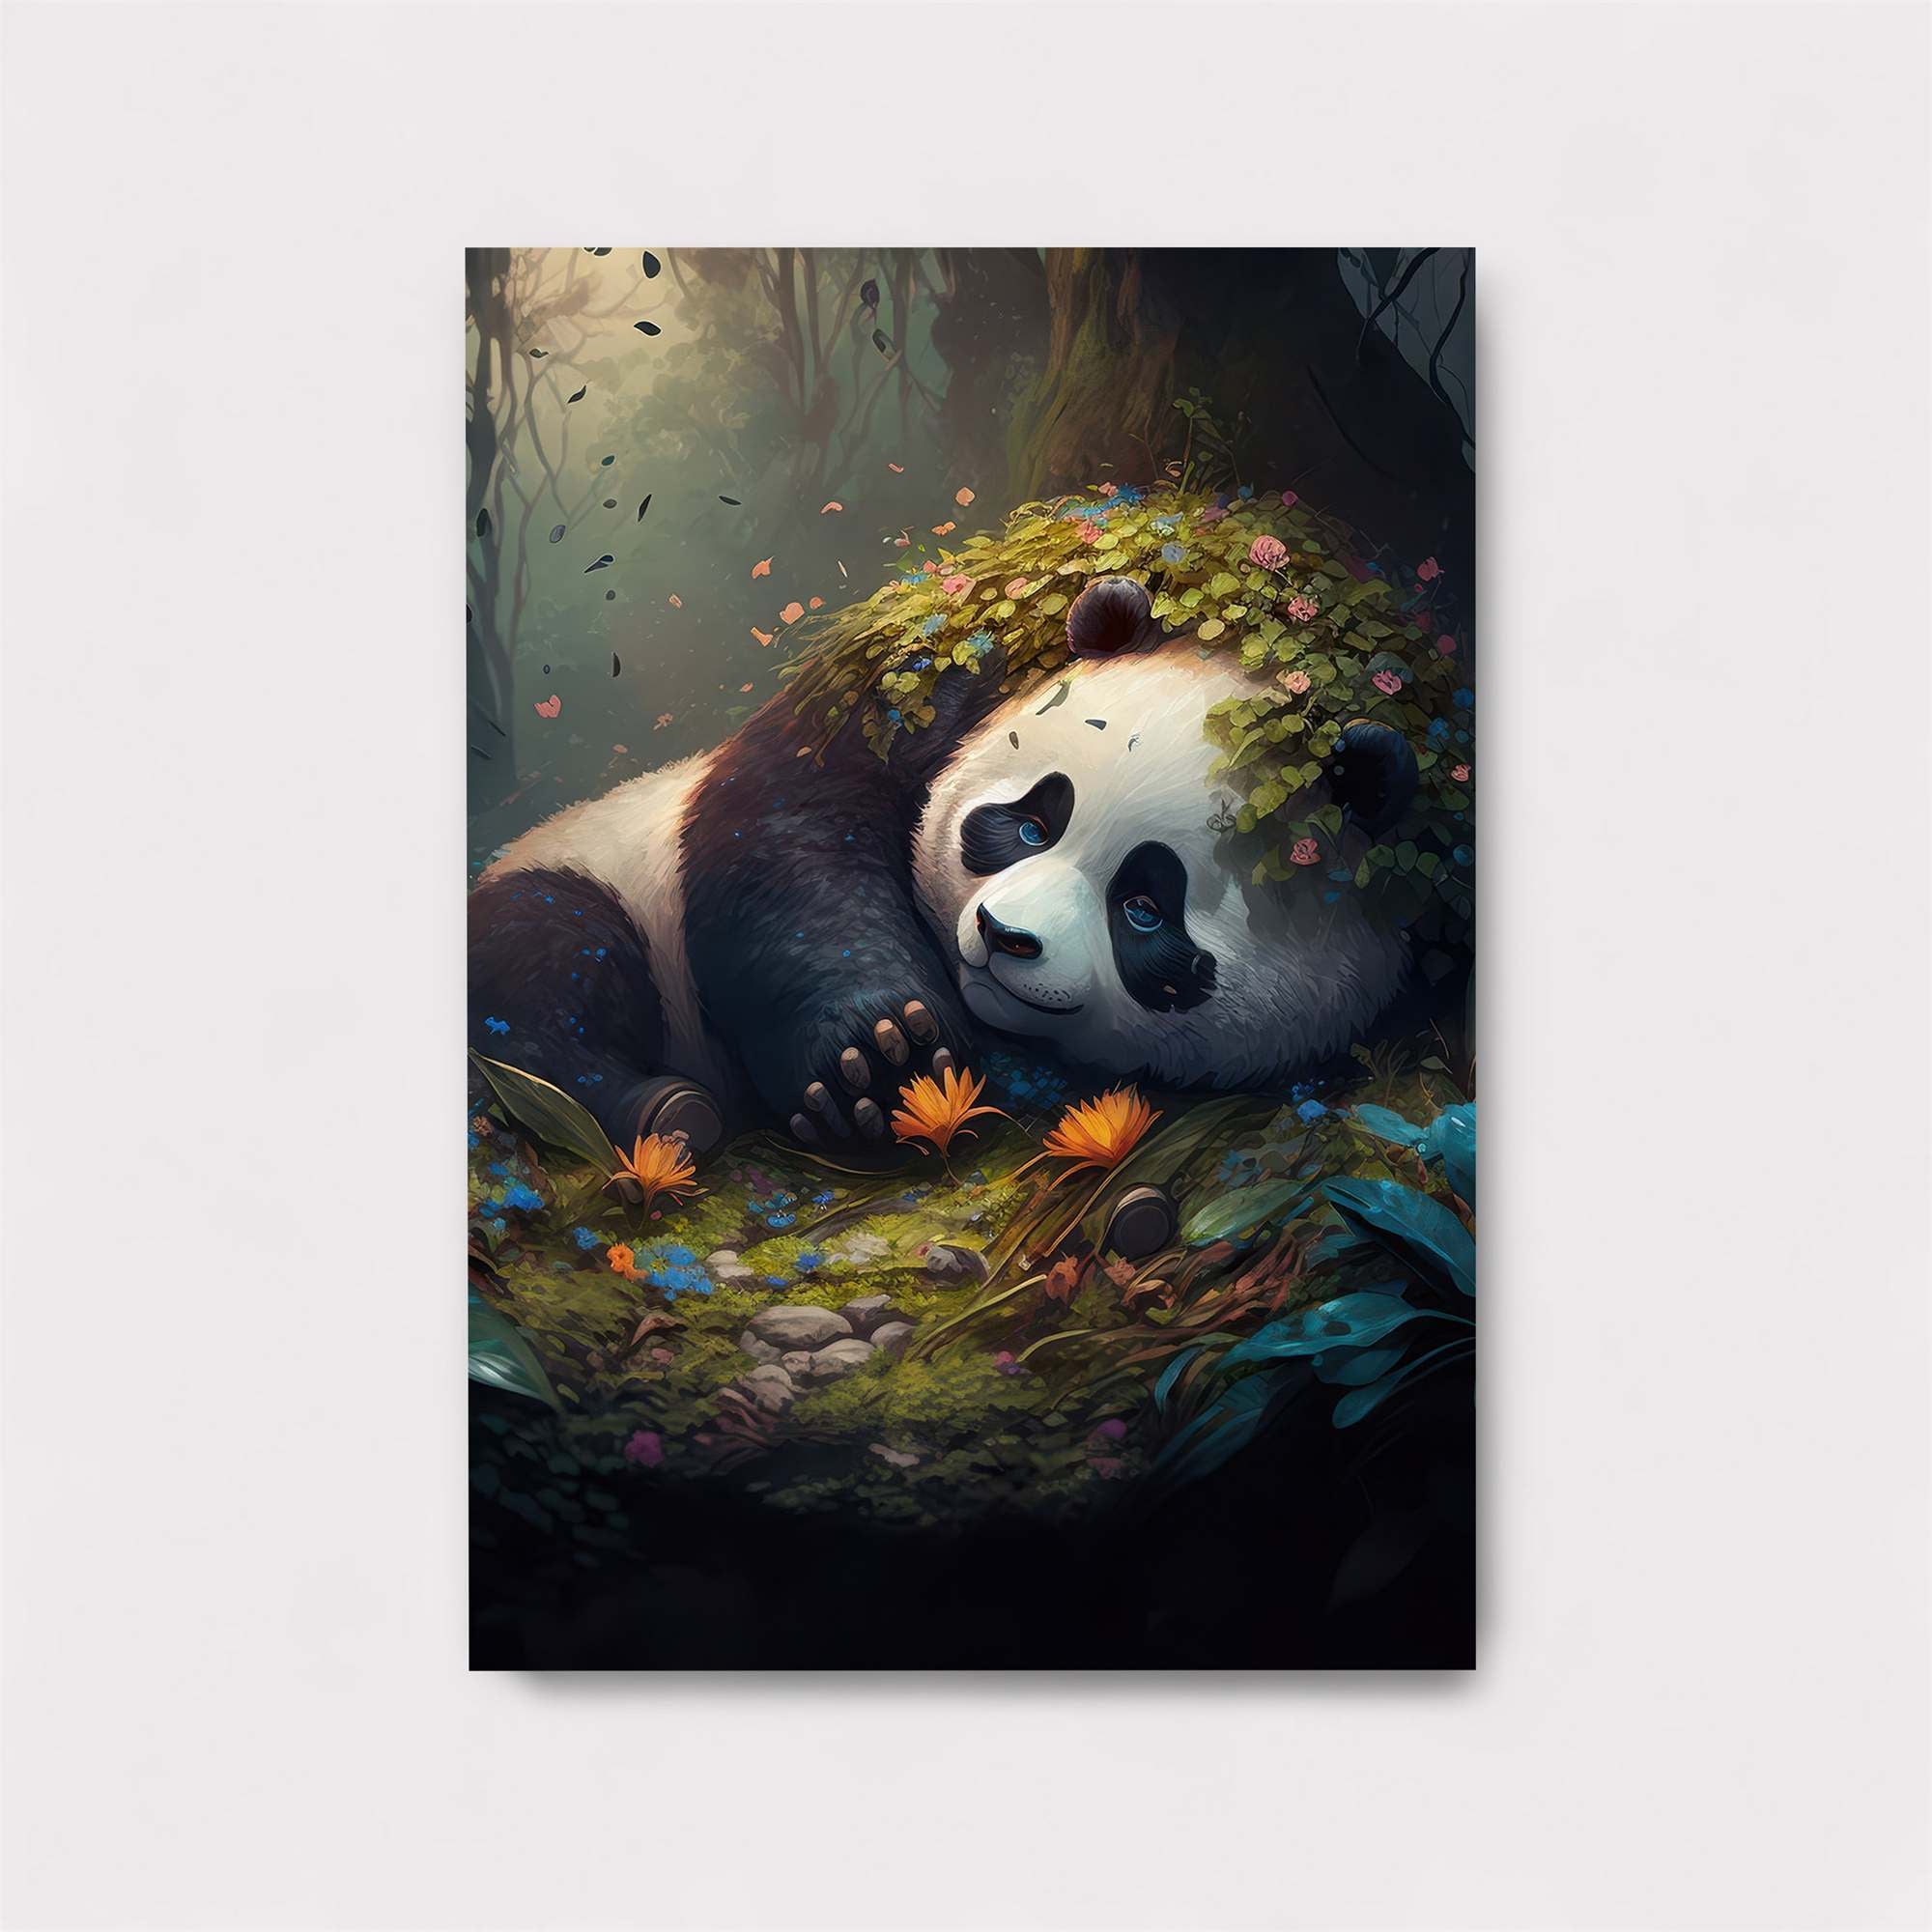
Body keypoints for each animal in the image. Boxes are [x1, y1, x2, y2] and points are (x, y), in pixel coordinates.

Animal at [469, 575, 1423, 1160]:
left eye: (1145, 908)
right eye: (1031, 823)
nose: (1006, 937)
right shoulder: (923, 696)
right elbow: (787, 831)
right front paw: (878, 1058)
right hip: (579, 873)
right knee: (552, 976)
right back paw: (660, 1112)